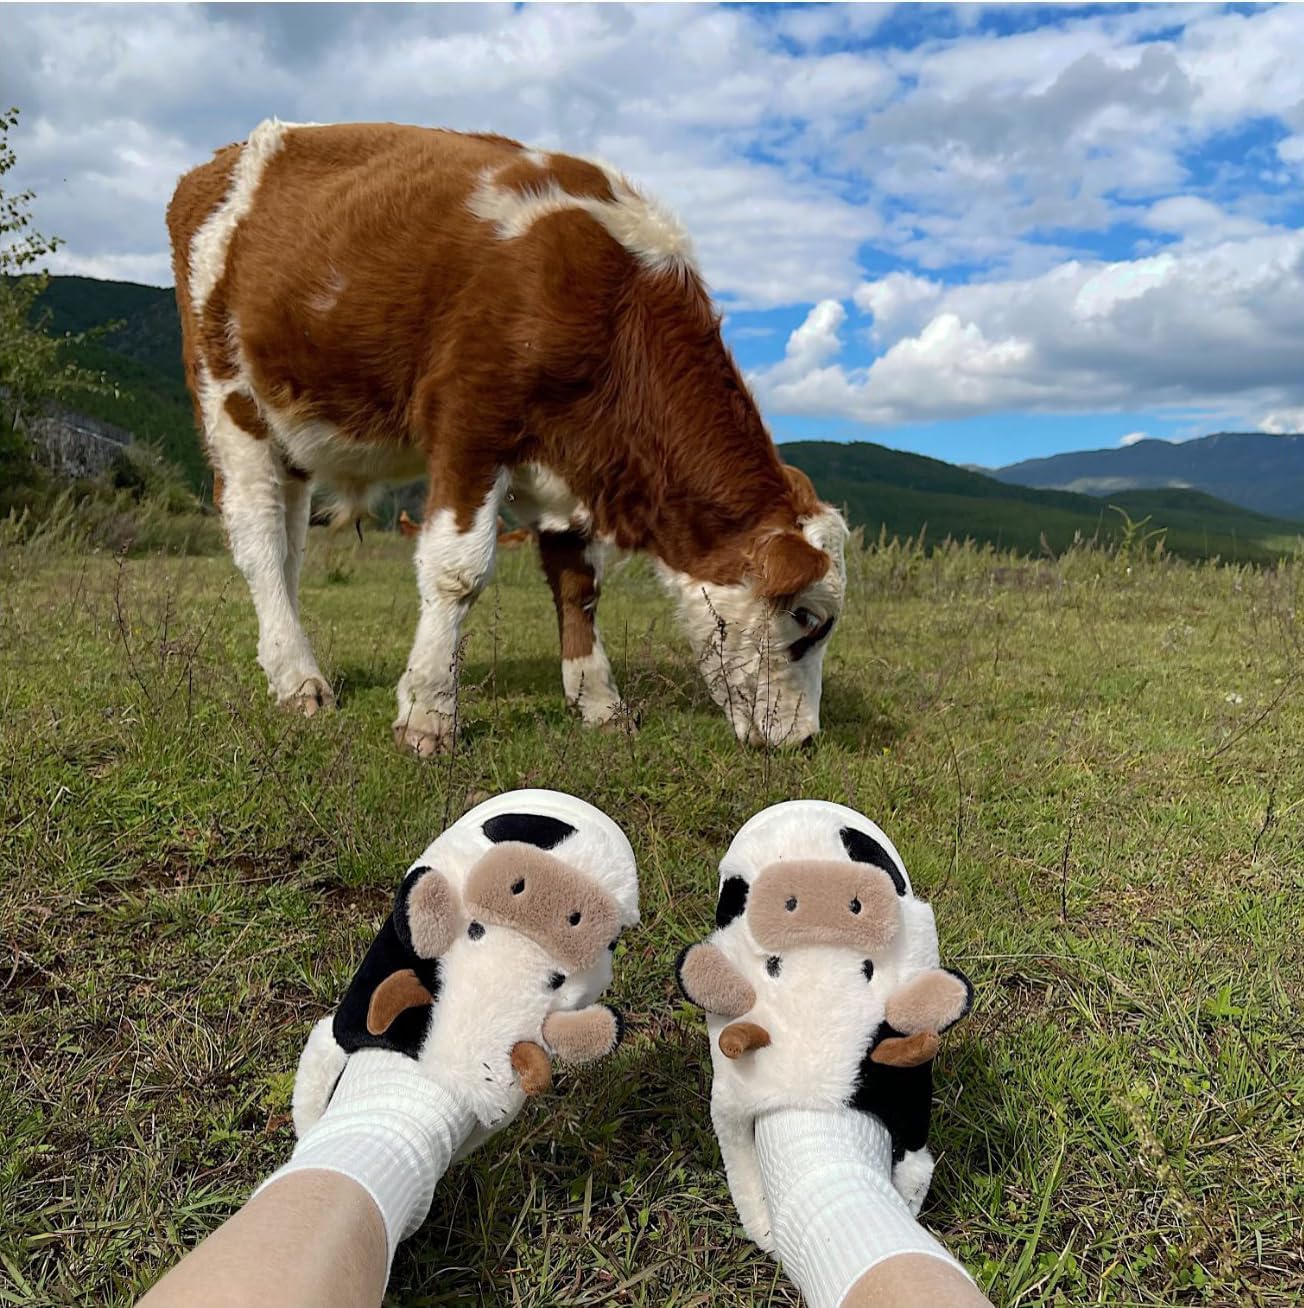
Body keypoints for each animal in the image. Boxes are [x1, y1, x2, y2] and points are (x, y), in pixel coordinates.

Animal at [166, 120, 848, 754]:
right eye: (806, 617)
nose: (806, 740)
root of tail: (218, 162)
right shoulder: (470, 421)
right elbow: (457, 573)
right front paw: (429, 714)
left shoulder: (573, 457)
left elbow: (579, 586)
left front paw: (599, 704)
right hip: (229, 397)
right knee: (257, 536)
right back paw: (299, 679)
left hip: (294, 433)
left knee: (289, 548)